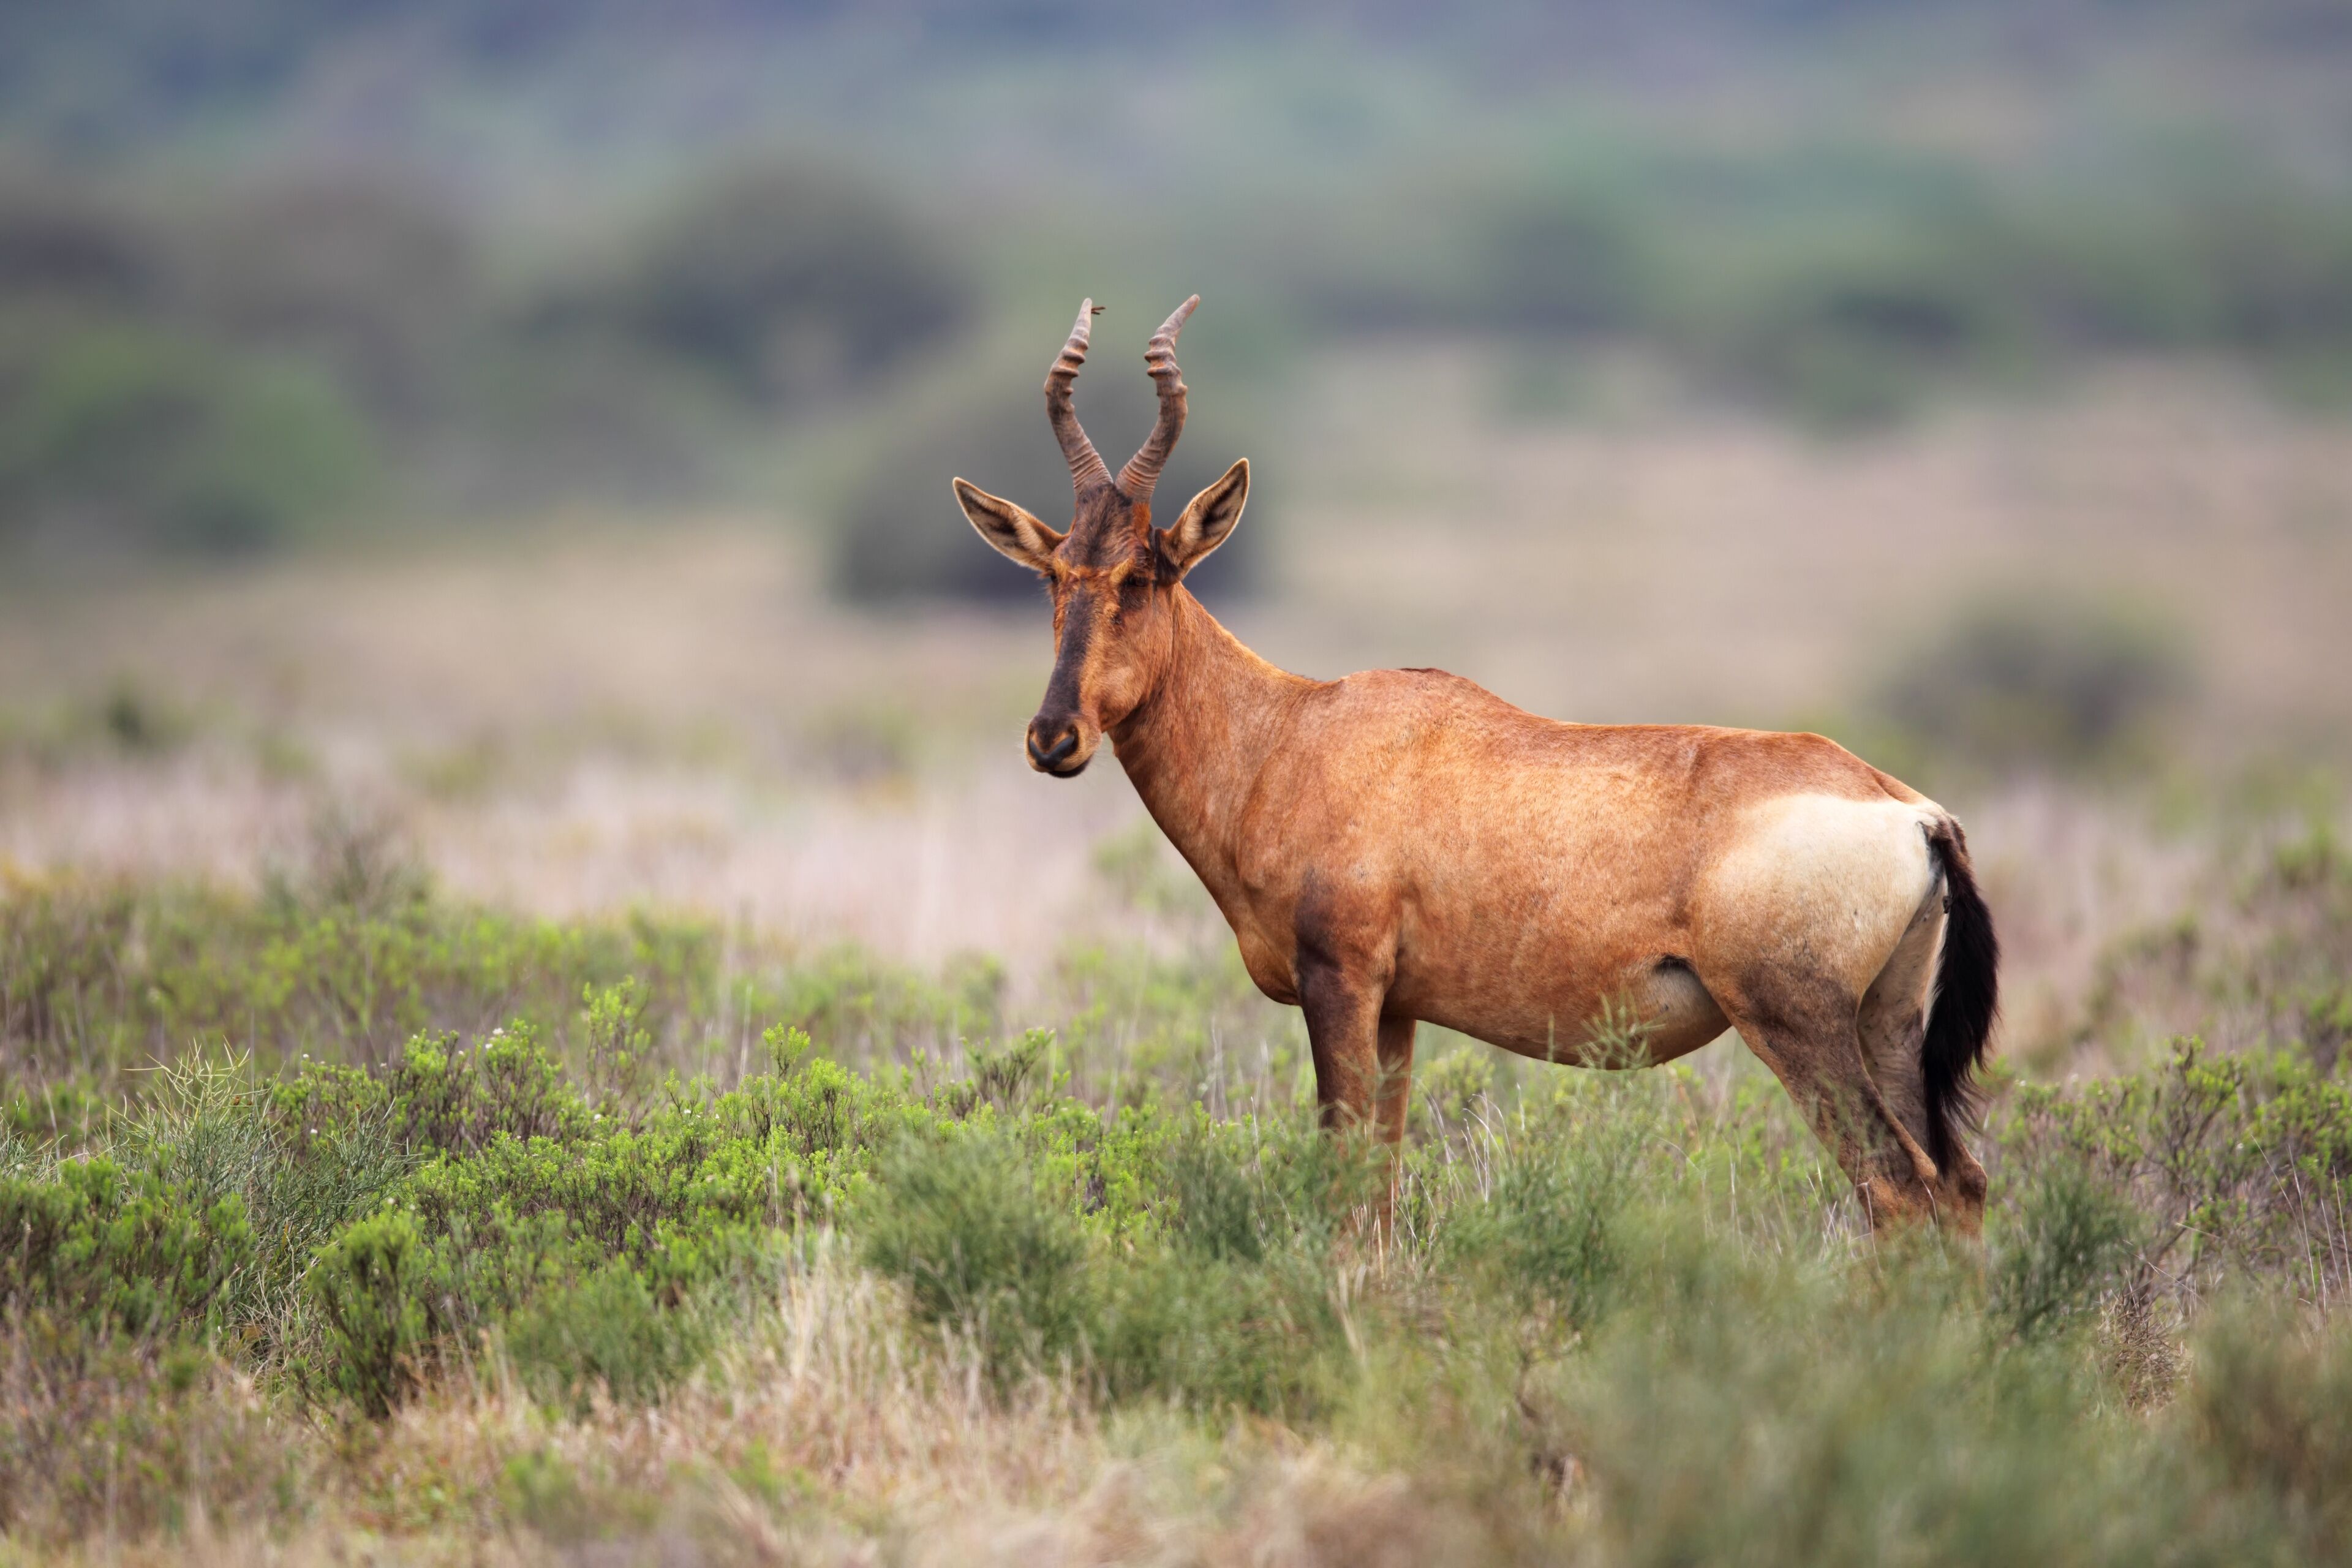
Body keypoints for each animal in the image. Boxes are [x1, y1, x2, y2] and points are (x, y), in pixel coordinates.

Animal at [951, 297, 1998, 1234]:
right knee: (1960, 1187)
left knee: (1897, 1190)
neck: (1294, 731)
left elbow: (1345, 1187)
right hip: (1886, 1023)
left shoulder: (1342, 982)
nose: (1054, 738)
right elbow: (1377, 1189)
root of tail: (1912, 813)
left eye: (1143, 574)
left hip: (1798, 1026)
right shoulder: (1397, 1010)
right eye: (1056, 574)